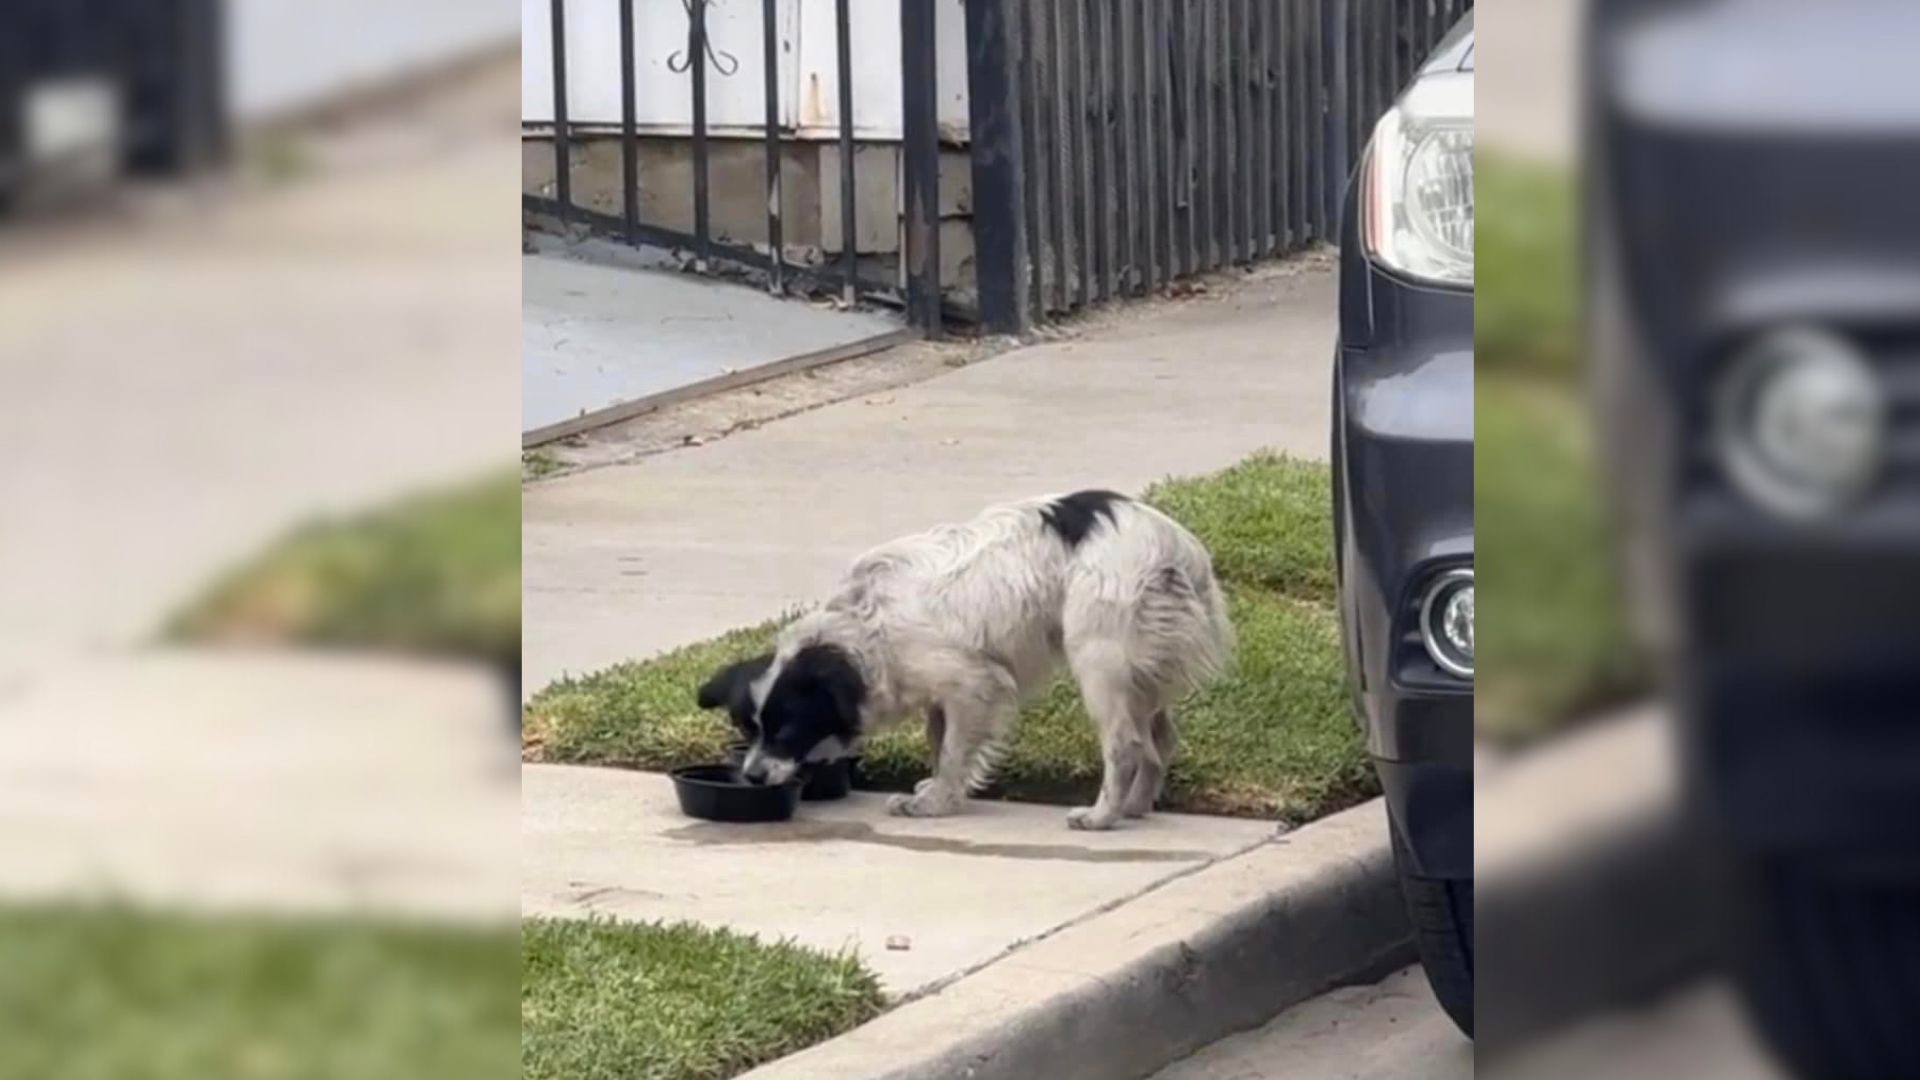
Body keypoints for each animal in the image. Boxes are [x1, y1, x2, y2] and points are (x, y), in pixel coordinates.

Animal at [702, 491, 1228, 826]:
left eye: (787, 730)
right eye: (747, 729)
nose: (751, 777)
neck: (863, 627)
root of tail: (1179, 548)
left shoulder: (973, 682)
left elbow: (955, 749)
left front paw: (937, 803)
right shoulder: (941, 692)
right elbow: (938, 741)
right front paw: (935, 789)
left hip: (1100, 658)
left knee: (1126, 745)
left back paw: (1103, 816)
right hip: (1141, 667)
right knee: (1160, 740)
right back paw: (1136, 806)